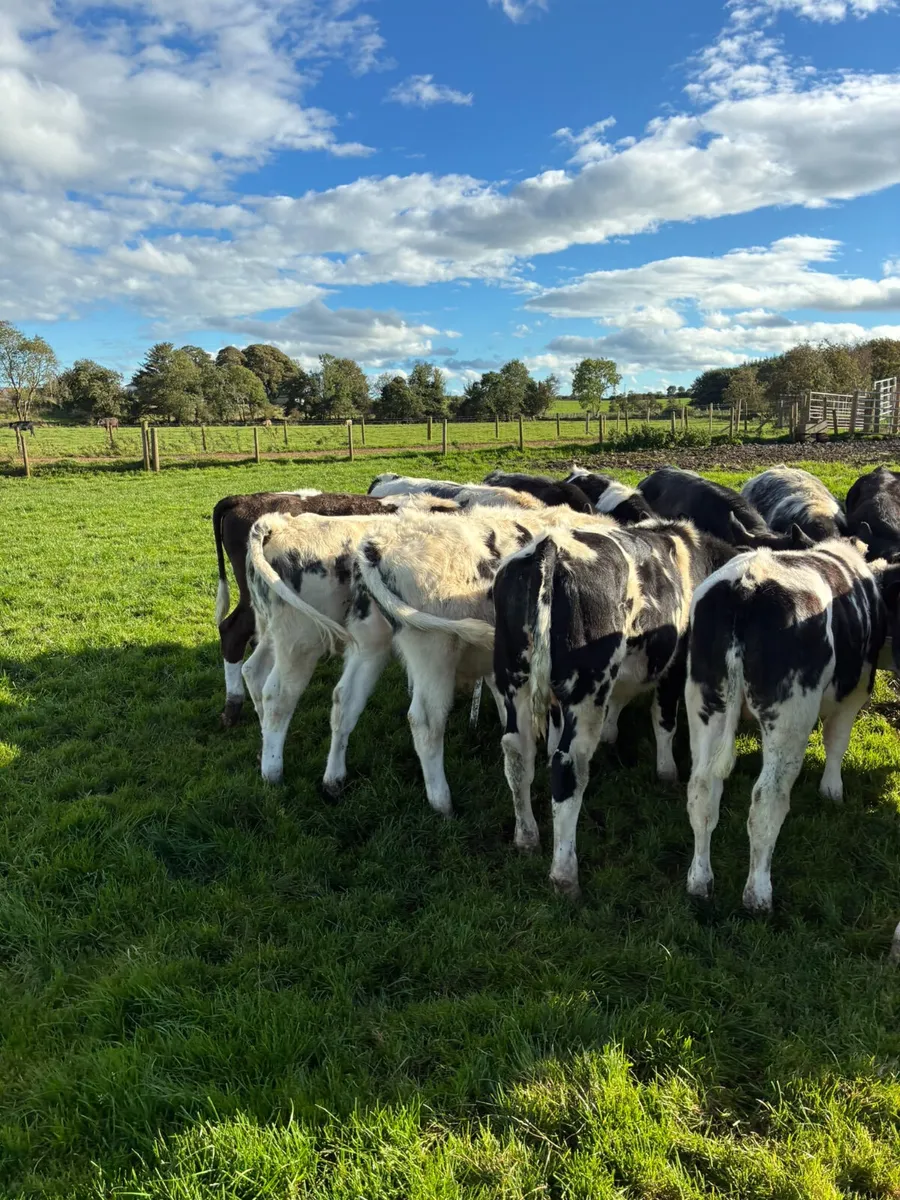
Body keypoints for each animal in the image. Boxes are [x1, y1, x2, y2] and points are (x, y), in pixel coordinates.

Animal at [490, 519, 741, 897]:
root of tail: (550, 547)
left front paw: (611, 735)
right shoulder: (675, 667)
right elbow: (664, 720)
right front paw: (666, 771)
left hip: (513, 676)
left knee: (517, 753)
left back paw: (527, 836)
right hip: (587, 687)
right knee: (568, 767)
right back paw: (564, 874)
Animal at [684, 539, 900, 915]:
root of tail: (748, 582)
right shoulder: (855, 692)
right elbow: (837, 741)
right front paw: (832, 790)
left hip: (705, 704)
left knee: (702, 791)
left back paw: (699, 881)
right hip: (790, 717)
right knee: (767, 799)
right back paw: (758, 895)